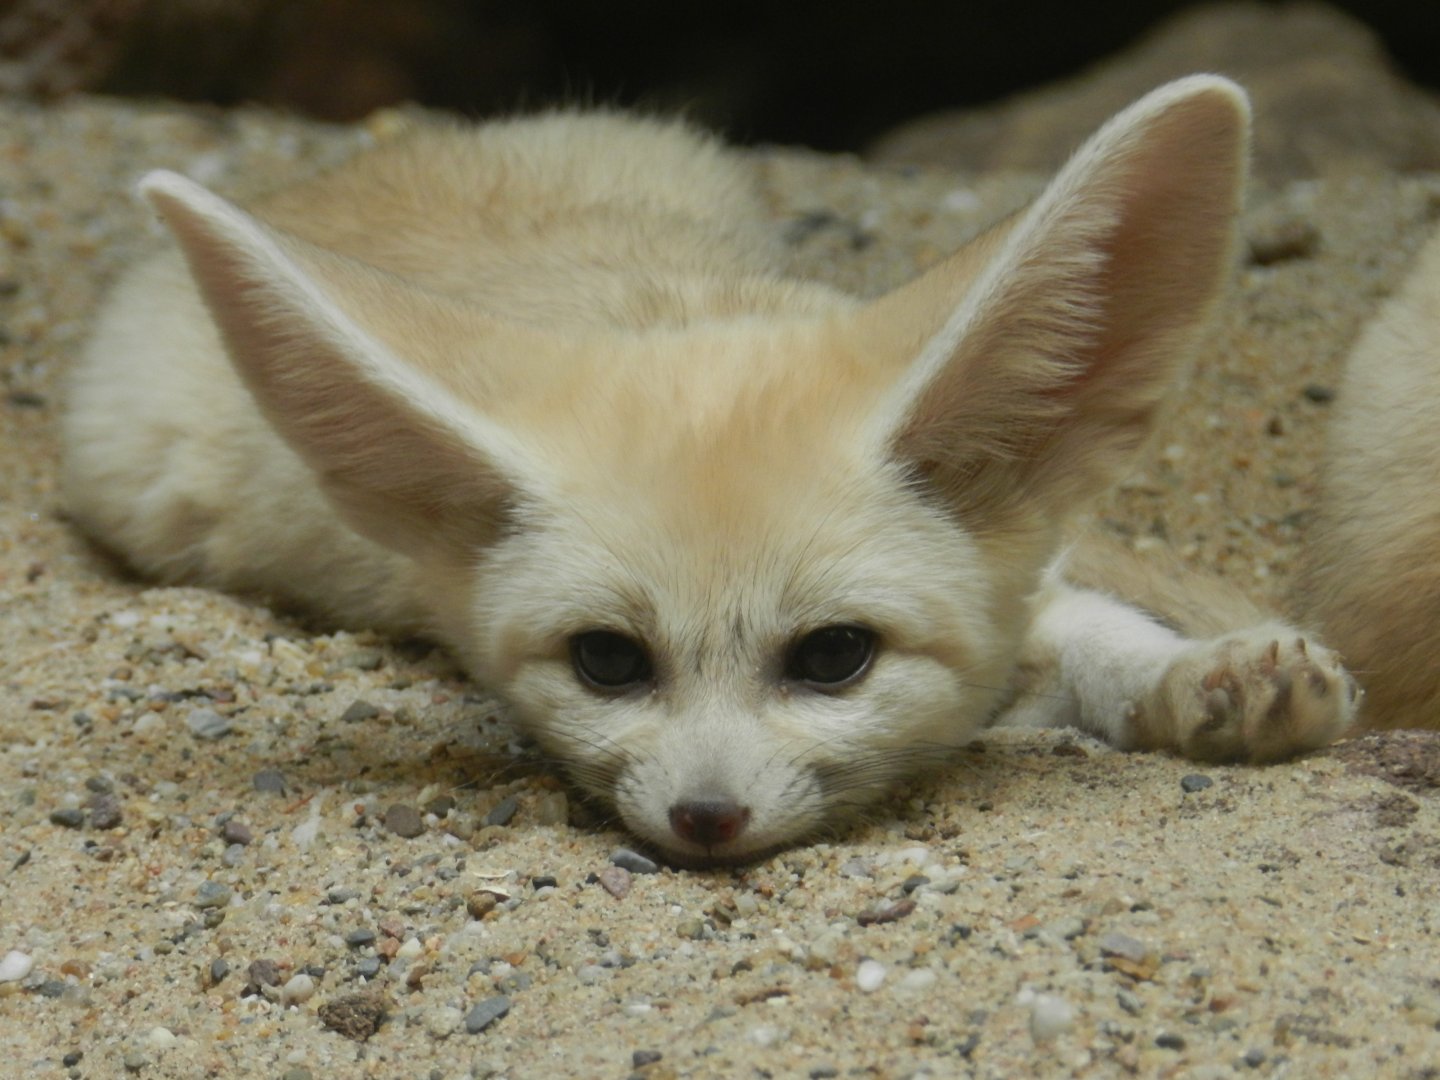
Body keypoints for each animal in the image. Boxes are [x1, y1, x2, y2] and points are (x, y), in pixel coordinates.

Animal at [61, 76, 1359, 866]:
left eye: (834, 657)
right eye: (607, 662)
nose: (705, 820)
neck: (680, 310)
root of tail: (327, 179)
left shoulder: (1022, 571)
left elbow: (1089, 622)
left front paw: (1210, 677)